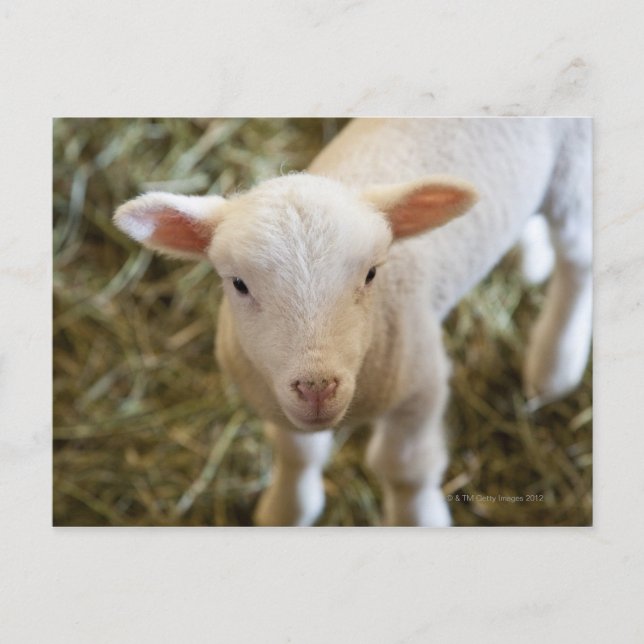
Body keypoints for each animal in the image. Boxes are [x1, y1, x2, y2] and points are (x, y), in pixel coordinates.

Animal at [113, 118, 592, 527]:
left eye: (372, 273)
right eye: (239, 284)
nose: (317, 387)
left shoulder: (422, 383)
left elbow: (405, 469)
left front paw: (419, 520)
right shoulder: (277, 401)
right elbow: (297, 454)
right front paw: (287, 511)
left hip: (572, 175)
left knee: (578, 261)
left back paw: (553, 368)